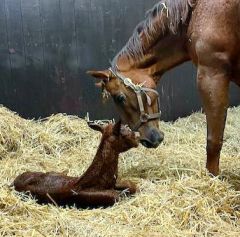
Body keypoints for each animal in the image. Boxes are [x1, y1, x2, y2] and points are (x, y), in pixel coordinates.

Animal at [13, 120, 141, 207]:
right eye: (123, 134)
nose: (138, 137)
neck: (101, 180)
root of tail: (14, 182)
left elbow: (132, 186)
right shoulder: (109, 195)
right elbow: (117, 195)